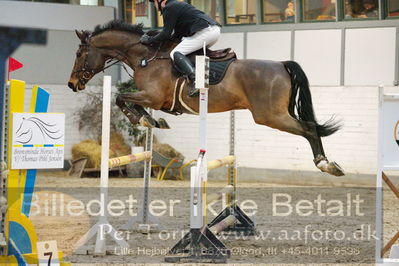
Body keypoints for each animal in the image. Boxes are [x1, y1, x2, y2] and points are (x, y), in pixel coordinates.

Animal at [68, 20, 344, 177]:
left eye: (80, 53)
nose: (72, 84)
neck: (146, 56)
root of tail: (281, 64)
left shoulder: (152, 97)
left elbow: (120, 98)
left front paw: (143, 120)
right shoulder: (152, 99)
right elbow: (126, 100)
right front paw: (152, 121)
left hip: (270, 116)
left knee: (309, 128)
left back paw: (326, 165)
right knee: (310, 127)